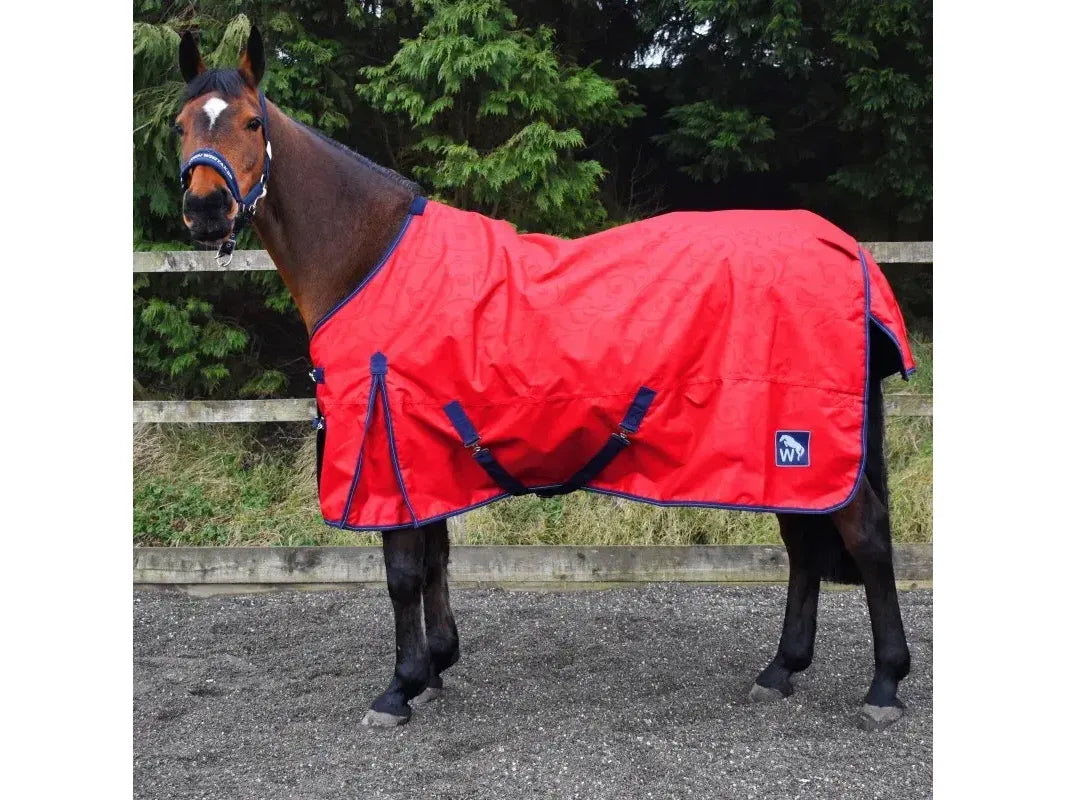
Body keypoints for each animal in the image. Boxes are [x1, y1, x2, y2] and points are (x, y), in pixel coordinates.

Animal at [170, 28, 911, 731]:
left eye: (251, 123)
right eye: (179, 125)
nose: (205, 210)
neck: (369, 257)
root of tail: (845, 248)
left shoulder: (390, 448)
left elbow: (403, 574)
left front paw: (399, 688)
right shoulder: (424, 457)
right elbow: (435, 558)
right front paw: (435, 668)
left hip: (806, 444)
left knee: (867, 539)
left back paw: (885, 685)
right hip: (781, 458)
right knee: (804, 547)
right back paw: (781, 671)